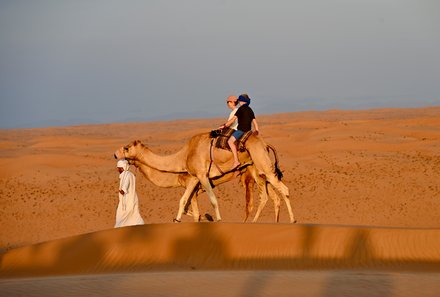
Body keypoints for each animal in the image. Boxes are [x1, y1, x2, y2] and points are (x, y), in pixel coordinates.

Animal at [119, 132, 296, 222]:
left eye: (126, 148)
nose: (115, 154)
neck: (183, 157)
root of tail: (265, 144)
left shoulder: (199, 177)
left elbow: (209, 201)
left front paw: (215, 219)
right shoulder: (194, 181)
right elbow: (185, 204)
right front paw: (184, 219)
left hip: (261, 168)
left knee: (280, 191)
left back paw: (289, 220)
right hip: (259, 172)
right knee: (274, 196)